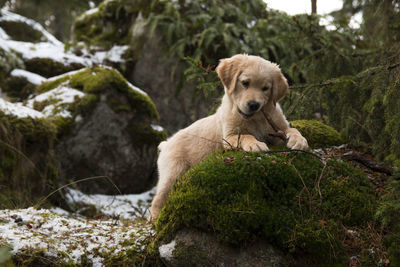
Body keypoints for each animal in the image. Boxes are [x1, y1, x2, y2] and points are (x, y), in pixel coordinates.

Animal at [151, 54, 310, 220]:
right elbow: (246, 135)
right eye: (245, 83)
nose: (254, 105)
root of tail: (166, 143)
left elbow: (292, 129)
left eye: (265, 88)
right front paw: (255, 144)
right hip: (173, 171)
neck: (255, 119)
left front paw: (299, 141)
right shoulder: (229, 137)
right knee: (158, 199)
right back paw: (154, 218)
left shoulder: (277, 128)